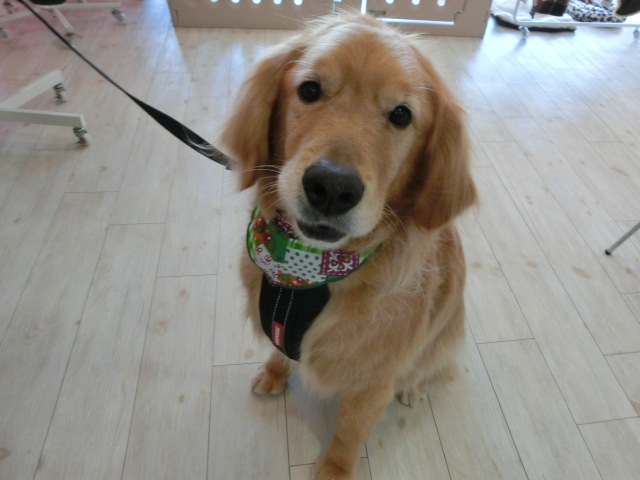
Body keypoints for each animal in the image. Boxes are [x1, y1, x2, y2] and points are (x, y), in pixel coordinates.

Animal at [221, 13, 477, 480]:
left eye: (401, 115)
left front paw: (334, 469)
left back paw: (415, 387)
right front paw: (274, 372)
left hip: (444, 333)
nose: (331, 188)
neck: (306, 273)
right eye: (309, 89)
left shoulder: (372, 382)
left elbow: (349, 433)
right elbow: (279, 351)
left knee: (429, 364)